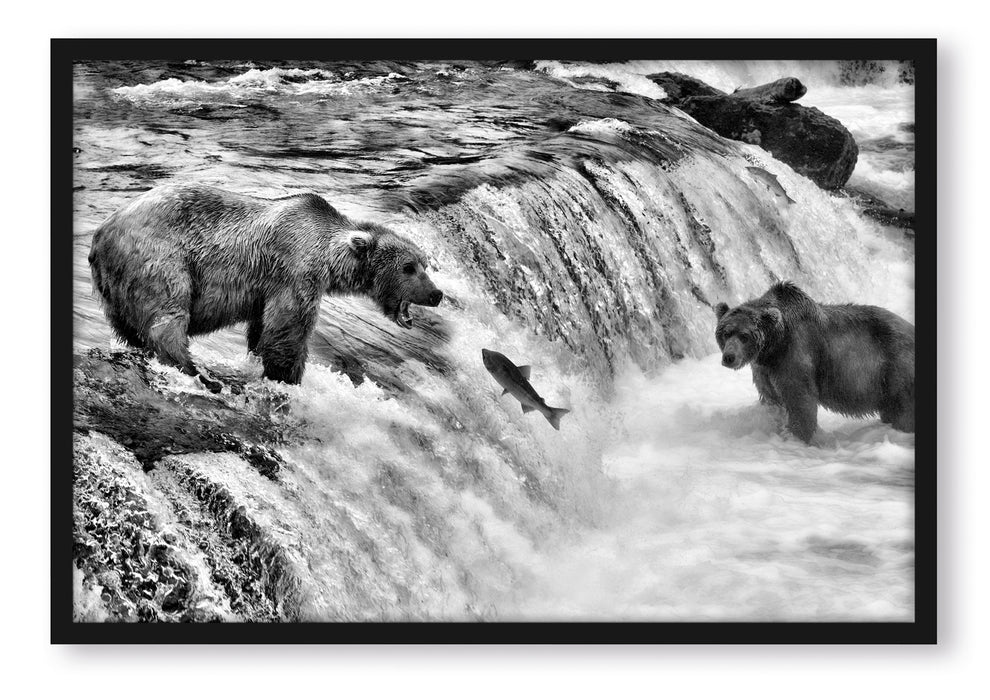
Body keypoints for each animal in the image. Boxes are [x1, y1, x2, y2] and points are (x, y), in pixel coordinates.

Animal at [89, 184, 444, 390]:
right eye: (409, 267)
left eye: (425, 264)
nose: (437, 294)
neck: (329, 257)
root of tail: (101, 232)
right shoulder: (295, 272)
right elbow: (288, 330)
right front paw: (288, 377)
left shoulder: (268, 288)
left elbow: (263, 329)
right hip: (160, 257)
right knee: (167, 313)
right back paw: (196, 371)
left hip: (116, 285)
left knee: (129, 325)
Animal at [713, 281, 914, 443]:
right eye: (725, 333)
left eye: (744, 336)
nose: (729, 357)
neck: (773, 347)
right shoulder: (764, 369)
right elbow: (771, 398)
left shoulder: (795, 355)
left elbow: (800, 401)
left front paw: (797, 436)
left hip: (896, 368)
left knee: (903, 412)